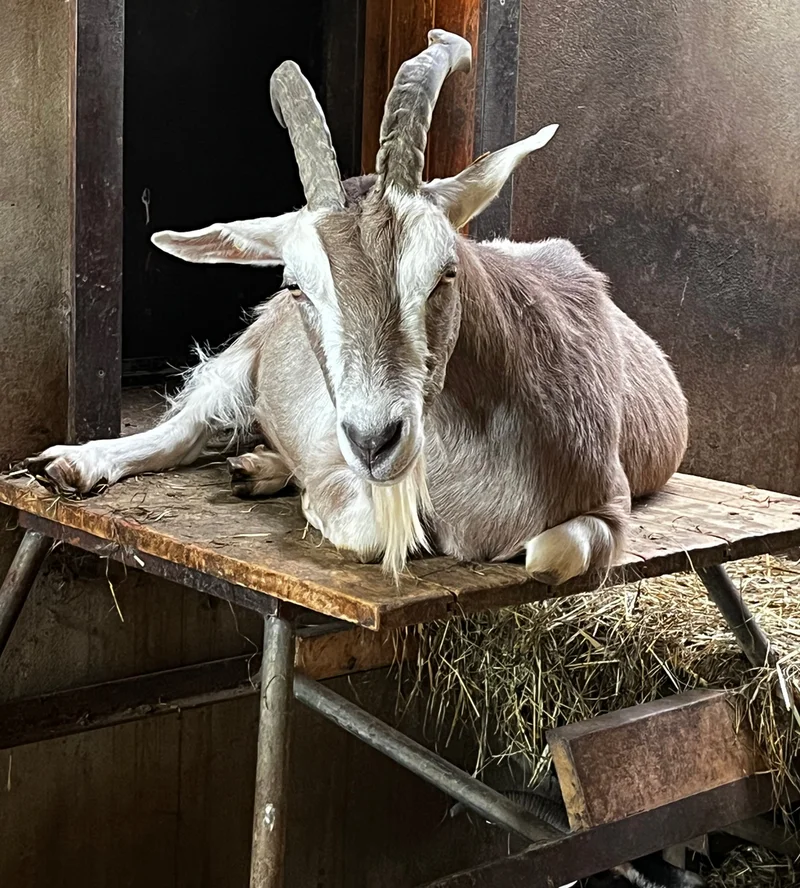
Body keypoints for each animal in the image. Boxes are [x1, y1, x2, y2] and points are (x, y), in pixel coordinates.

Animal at [28, 30, 688, 582]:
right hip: (243, 359)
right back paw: (73, 463)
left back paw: (257, 468)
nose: (374, 442)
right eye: (297, 285)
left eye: (446, 271)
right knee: (188, 428)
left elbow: (549, 553)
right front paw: (312, 498)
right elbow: (367, 524)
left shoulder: (608, 507)